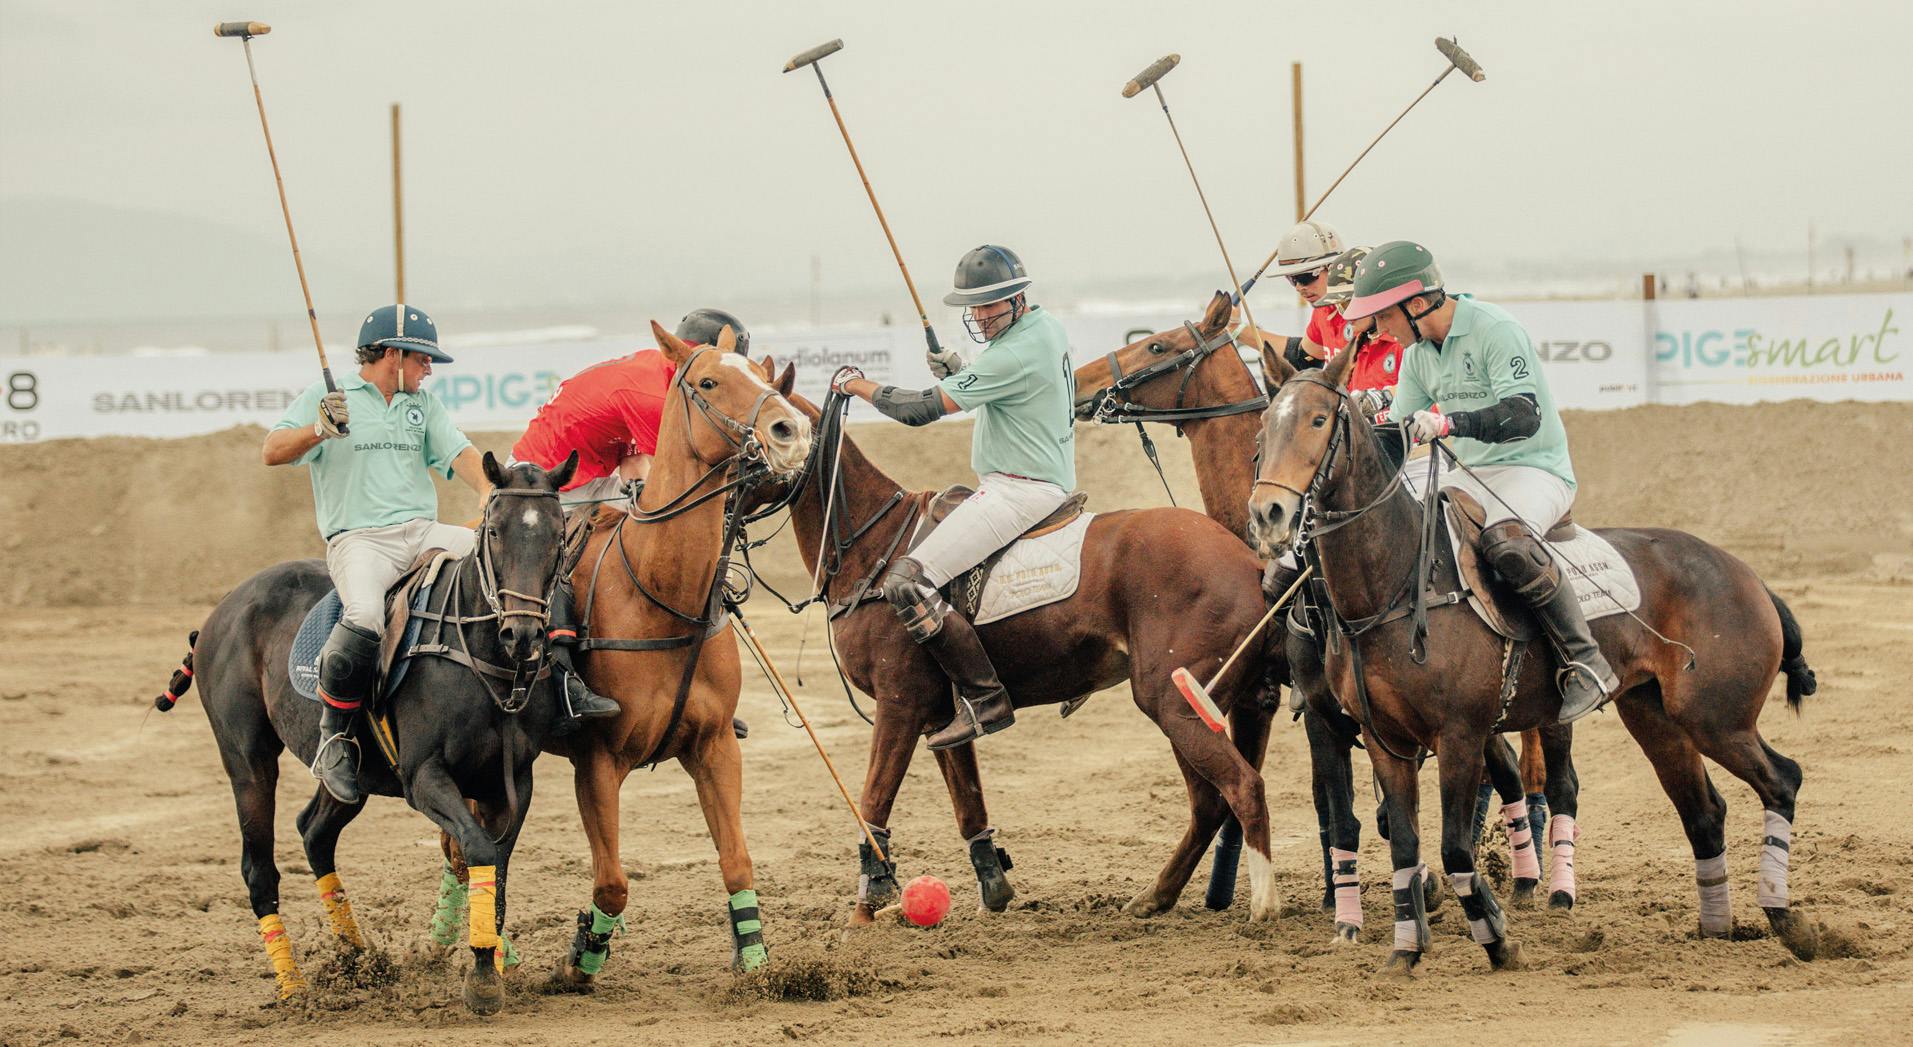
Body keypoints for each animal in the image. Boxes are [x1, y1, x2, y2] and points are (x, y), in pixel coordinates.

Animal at [154, 453, 573, 1018]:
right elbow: (479, 850)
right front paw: (484, 976)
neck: (481, 654)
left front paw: (487, 966)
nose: (523, 634)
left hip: (356, 776)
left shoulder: (512, 783)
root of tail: (216, 614)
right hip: (247, 760)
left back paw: (357, 958)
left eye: (558, 533)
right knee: (258, 867)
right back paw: (293, 986)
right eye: (495, 531)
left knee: (314, 830)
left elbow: (498, 866)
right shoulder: (424, 777)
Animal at [761, 386, 1285, 926]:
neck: (872, 548)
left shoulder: (900, 702)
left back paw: (1262, 905)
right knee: (1210, 804)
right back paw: (1155, 896)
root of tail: (1250, 564)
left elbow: (874, 803)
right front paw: (994, 890)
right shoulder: (939, 715)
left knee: (1242, 788)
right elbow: (968, 802)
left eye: (771, 429)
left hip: (1176, 701)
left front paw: (864, 913)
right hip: (1203, 702)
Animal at [1247, 346, 1813, 976]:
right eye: (1264, 426)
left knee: (1782, 780)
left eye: (1319, 420)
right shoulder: (1382, 738)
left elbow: (1454, 846)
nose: (1268, 514)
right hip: (1656, 717)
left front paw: (1497, 940)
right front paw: (1405, 950)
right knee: (1705, 810)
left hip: (1718, 717)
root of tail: (1751, 576)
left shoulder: (1460, 734)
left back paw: (1790, 921)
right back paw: (1716, 927)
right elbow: (1403, 843)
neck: (1394, 583)